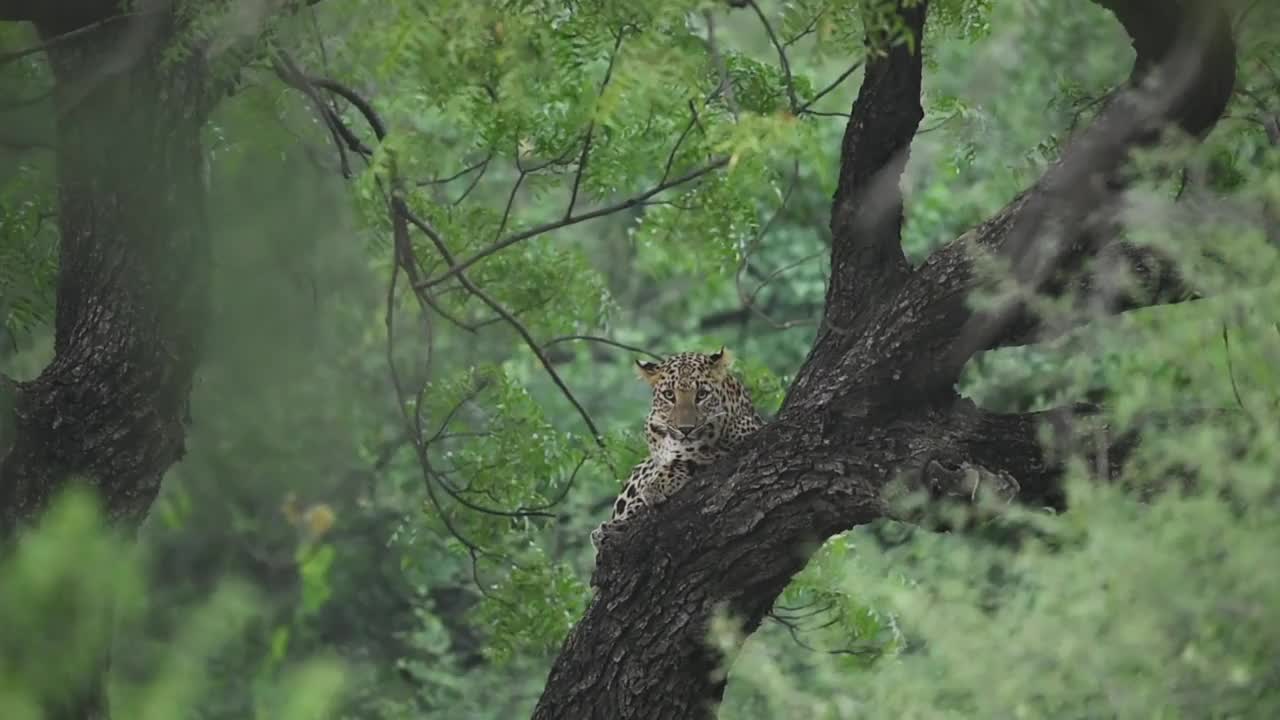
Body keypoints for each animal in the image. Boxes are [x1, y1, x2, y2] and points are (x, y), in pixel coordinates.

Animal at [588, 345, 757, 545]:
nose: (685, 429)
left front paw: (656, 486)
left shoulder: (744, 435)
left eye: (702, 394)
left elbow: (689, 459)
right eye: (669, 395)